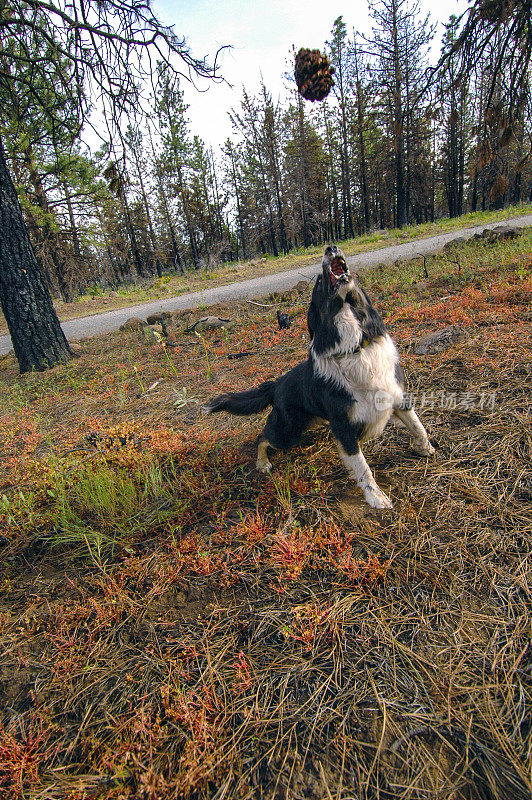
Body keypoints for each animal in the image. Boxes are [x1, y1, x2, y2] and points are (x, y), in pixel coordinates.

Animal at [206, 244, 434, 510]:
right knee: (263, 437)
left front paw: (426, 448)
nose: (331, 247)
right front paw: (376, 498)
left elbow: (418, 426)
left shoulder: (397, 397)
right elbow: (362, 467)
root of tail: (278, 383)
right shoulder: (343, 425)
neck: (356, 349)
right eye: (317, 282)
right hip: (288, 431)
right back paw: (262, 462)